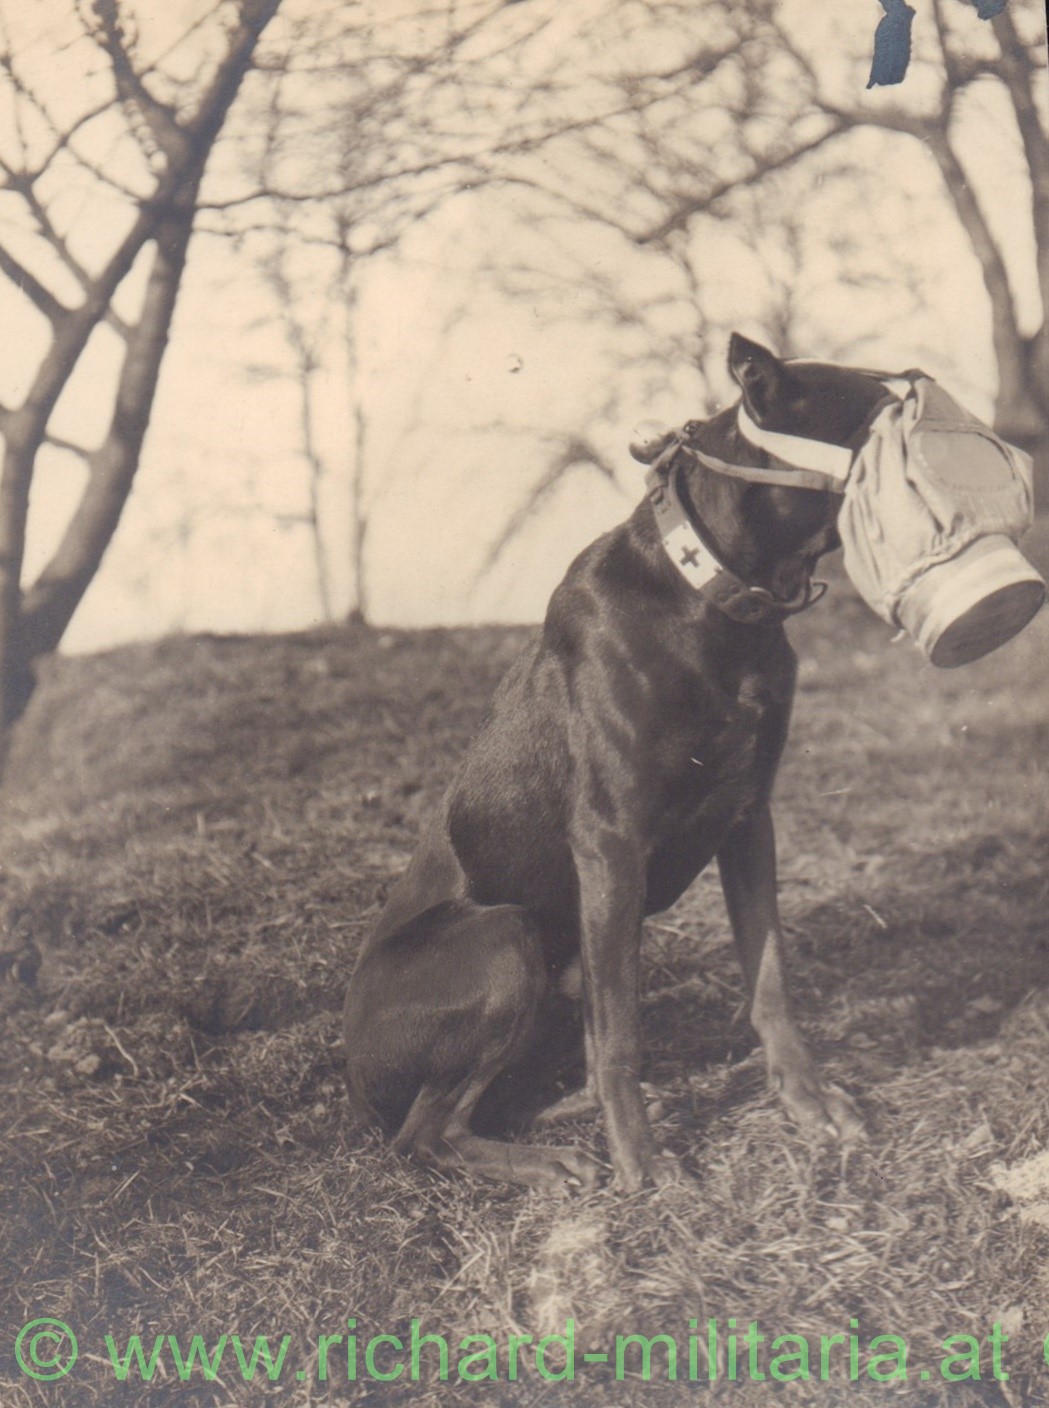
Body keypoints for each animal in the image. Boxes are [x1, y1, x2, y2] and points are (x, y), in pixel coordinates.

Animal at [343, 335, 884, 1193]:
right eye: (883, 406)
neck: (711, 600)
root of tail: (353, 1083)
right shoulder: (610, 841)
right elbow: (622, 1029)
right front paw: (642, 1160)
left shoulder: (747, 819)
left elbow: (768, 979)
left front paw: (808, 1102)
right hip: (504, 940)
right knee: (429, 1133)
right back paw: (552, 1154)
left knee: (523, 1084)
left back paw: (578, 1113)